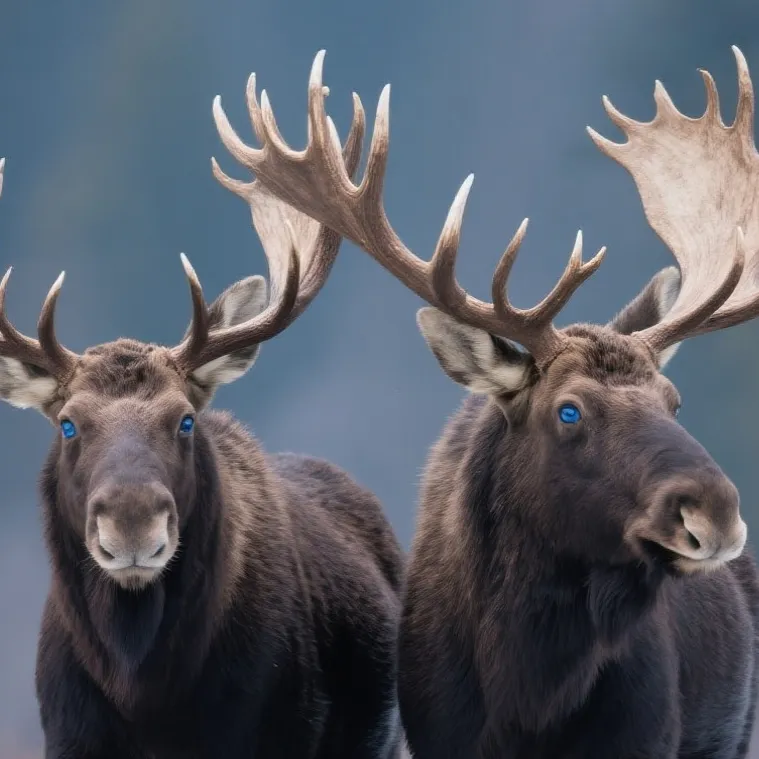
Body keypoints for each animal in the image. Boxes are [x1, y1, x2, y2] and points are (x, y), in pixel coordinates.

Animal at [0, 64, 406, 759]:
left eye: (184, 419)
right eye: (68, 423)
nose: (133, 521)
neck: (146, 695)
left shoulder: (280, 732)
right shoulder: (69, 735)